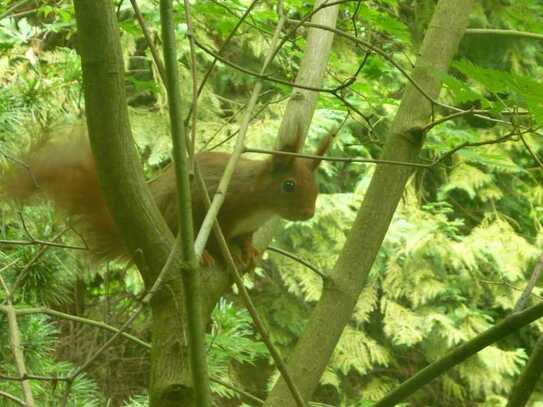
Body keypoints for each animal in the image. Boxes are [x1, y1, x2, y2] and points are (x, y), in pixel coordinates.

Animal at [4, 126, 334, 266]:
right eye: (289, 185)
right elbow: (217, 240)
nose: (308, 213)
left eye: (316, 187)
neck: (260, 205)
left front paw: (249, 251)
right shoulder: (219, 207)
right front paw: (223, 254)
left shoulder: (249, 226)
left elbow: (247, 238)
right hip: (175, 211)